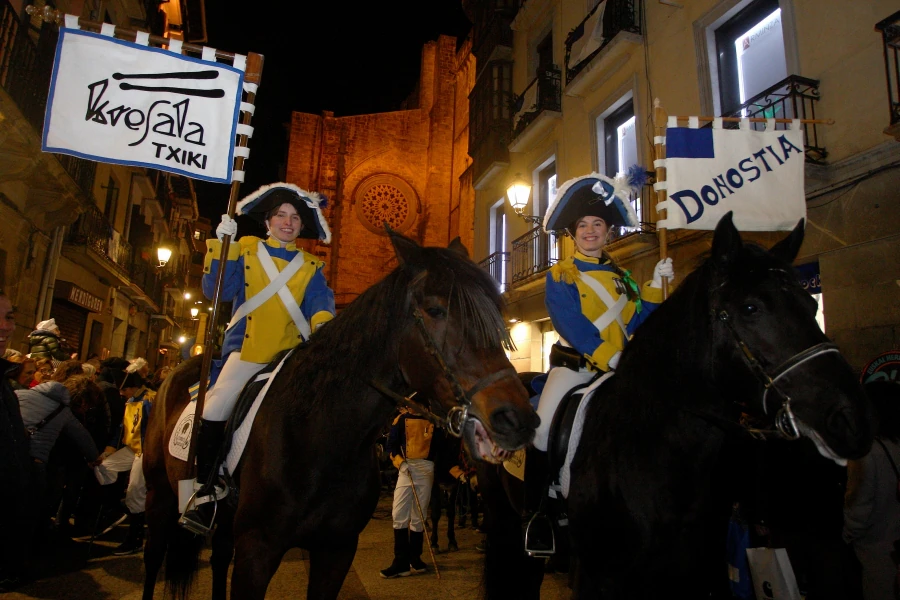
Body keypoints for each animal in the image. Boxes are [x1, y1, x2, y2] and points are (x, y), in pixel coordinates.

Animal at [140, 231, 536, 600]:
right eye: (436, 310)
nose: (518, 419)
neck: (322, 437)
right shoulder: (257, 551)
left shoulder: (336, 551)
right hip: (160, 495)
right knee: (153, 558)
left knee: (220, 557)